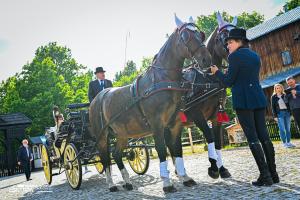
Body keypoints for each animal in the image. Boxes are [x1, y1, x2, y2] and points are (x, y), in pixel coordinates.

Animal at [89, 16, 211, 194]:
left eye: (200, 34)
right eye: (185, 36)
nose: (206, 59)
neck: (162, 80)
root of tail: (96, 99)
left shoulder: (175, 125)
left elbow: (177, 150)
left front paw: (185, 178)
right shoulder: (157, 125)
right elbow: (161, 151)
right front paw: (167, 183)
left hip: (122, 134)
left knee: (117, 155)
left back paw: (127, 182)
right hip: (103, 135)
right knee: (105, 158)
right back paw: (111, 184)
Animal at [182, 13, 236, 179]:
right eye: (224, 37)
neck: (208, 79)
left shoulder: (216, 115)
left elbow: (217, 141)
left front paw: (222, 168)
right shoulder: (197, 115)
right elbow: (209, 137)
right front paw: (213, 167)